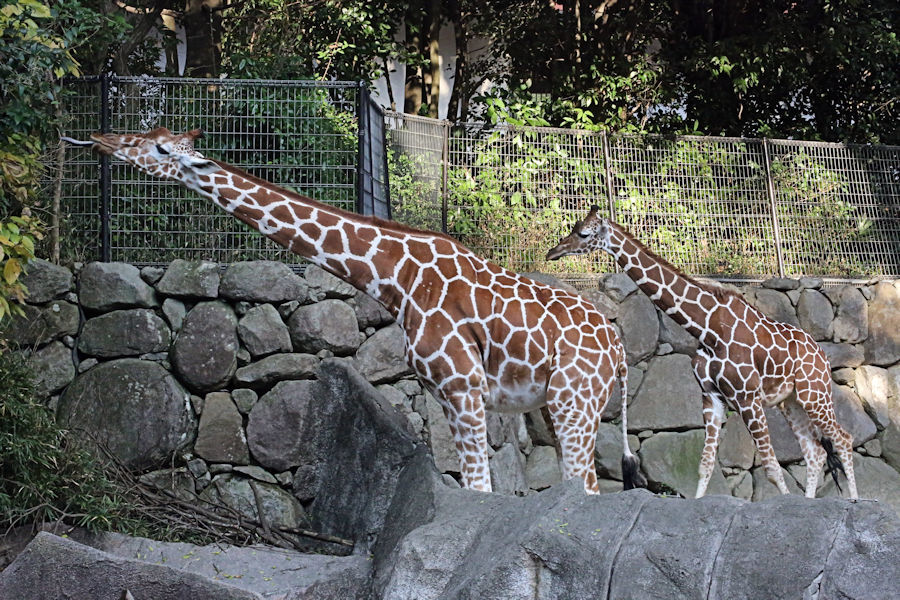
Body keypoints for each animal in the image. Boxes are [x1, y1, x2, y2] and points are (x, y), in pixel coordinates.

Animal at [63, 129, 644, 494]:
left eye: (159, 146)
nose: (100, 140)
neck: (398, 280)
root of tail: (619, 350)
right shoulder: (446, 393)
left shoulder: (463, 386)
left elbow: (480, 489)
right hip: (556, 405)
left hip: (574, 403)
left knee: (587, 488)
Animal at [544, 209, 860, 500]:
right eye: (573, 228)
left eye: (584, 233)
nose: (552, 252)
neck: (708, 328)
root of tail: (822, 354)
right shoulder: (712, 396)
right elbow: (705, 464)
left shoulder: (747, 397)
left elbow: (771, 466)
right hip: (792, 402)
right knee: (816, 452)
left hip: (814, 393)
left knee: (843, 438)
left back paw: (854, 499)